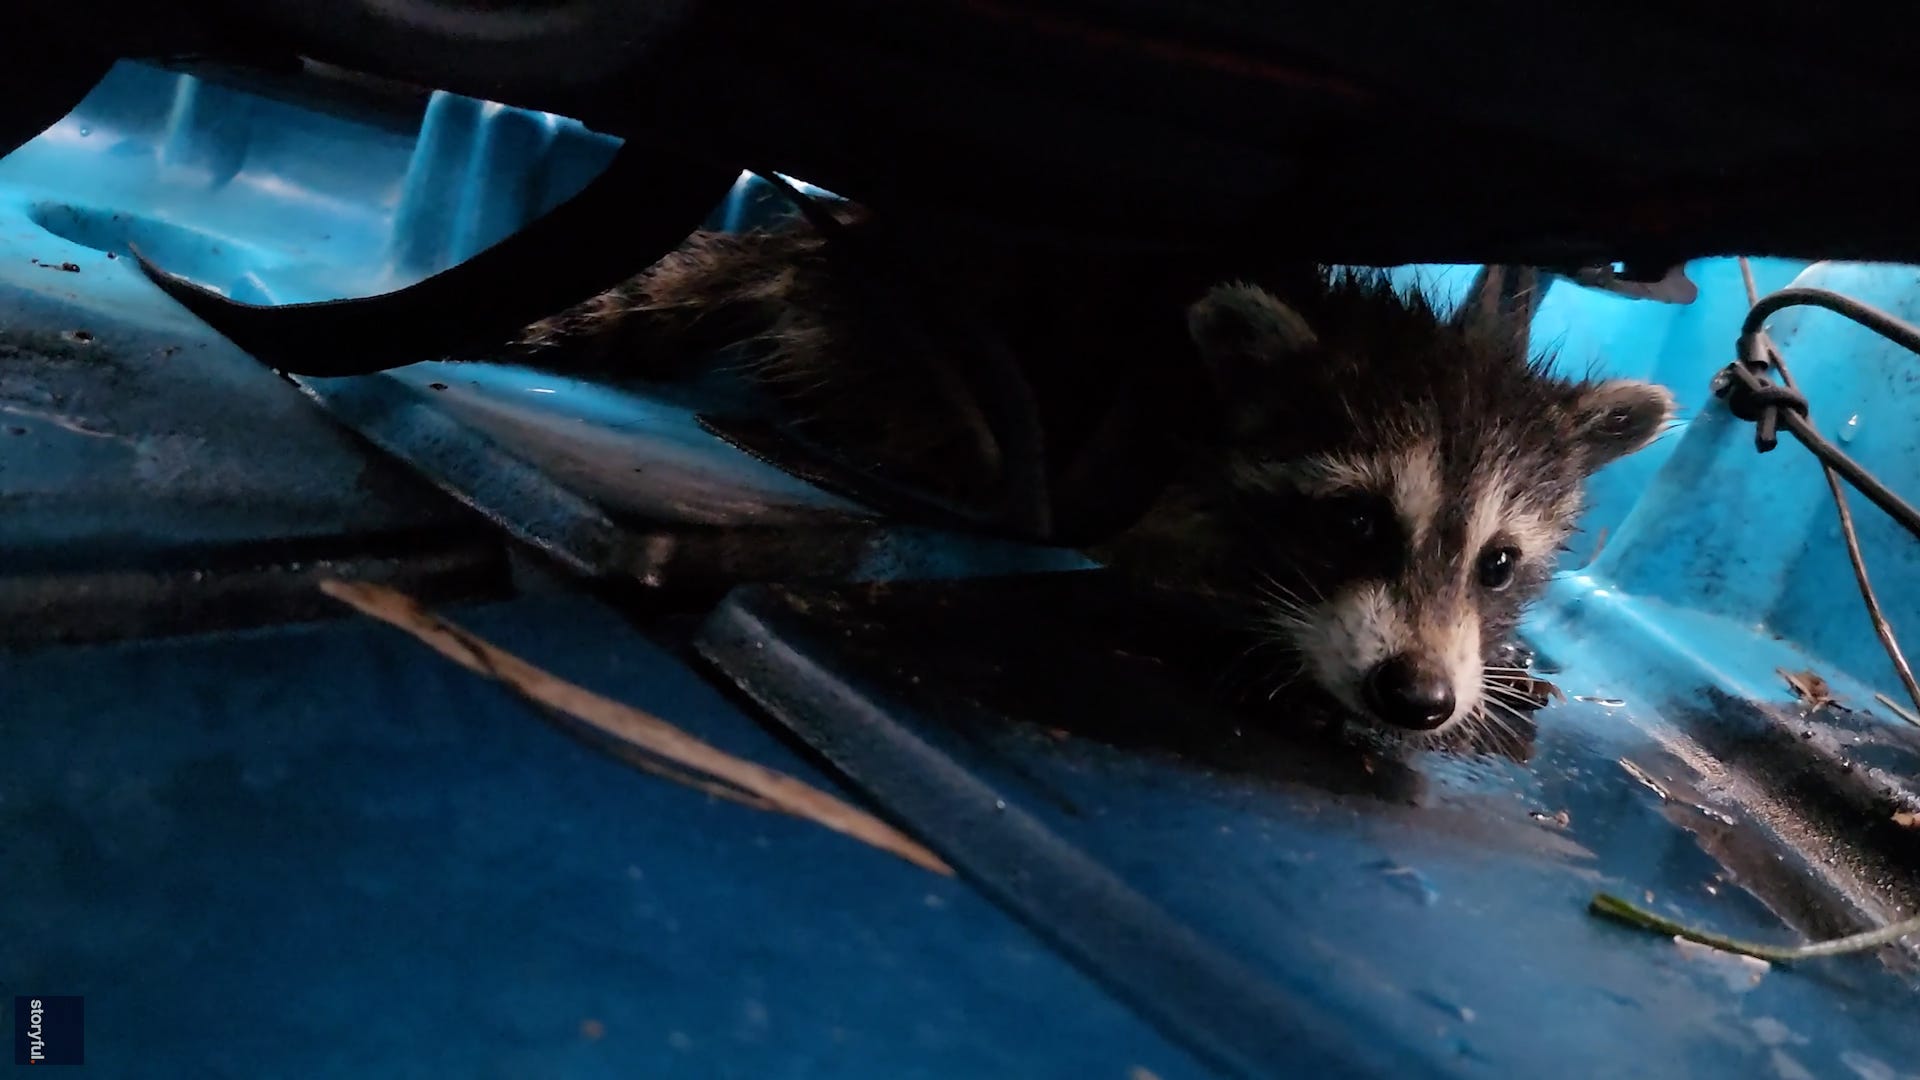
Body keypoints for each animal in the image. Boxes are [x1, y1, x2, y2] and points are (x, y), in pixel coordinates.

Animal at [505, 211, 1674, 743]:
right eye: (1353, 523)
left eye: (1499, 563)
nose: (1419, 698)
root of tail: (824, 239)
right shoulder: (1141, 470)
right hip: (912, 350)